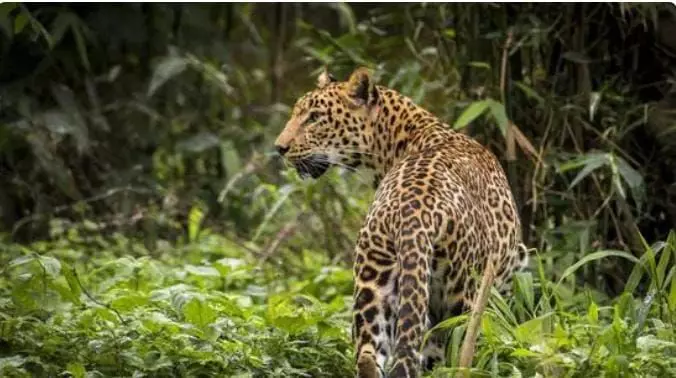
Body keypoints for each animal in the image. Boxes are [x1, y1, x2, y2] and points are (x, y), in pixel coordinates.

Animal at [274, 66, 528, 376]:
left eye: (314, 118)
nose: (279, 148)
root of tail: (413, 214)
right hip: (458, 296)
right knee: (451, 354)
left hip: (373, 282)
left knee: (368, 355)